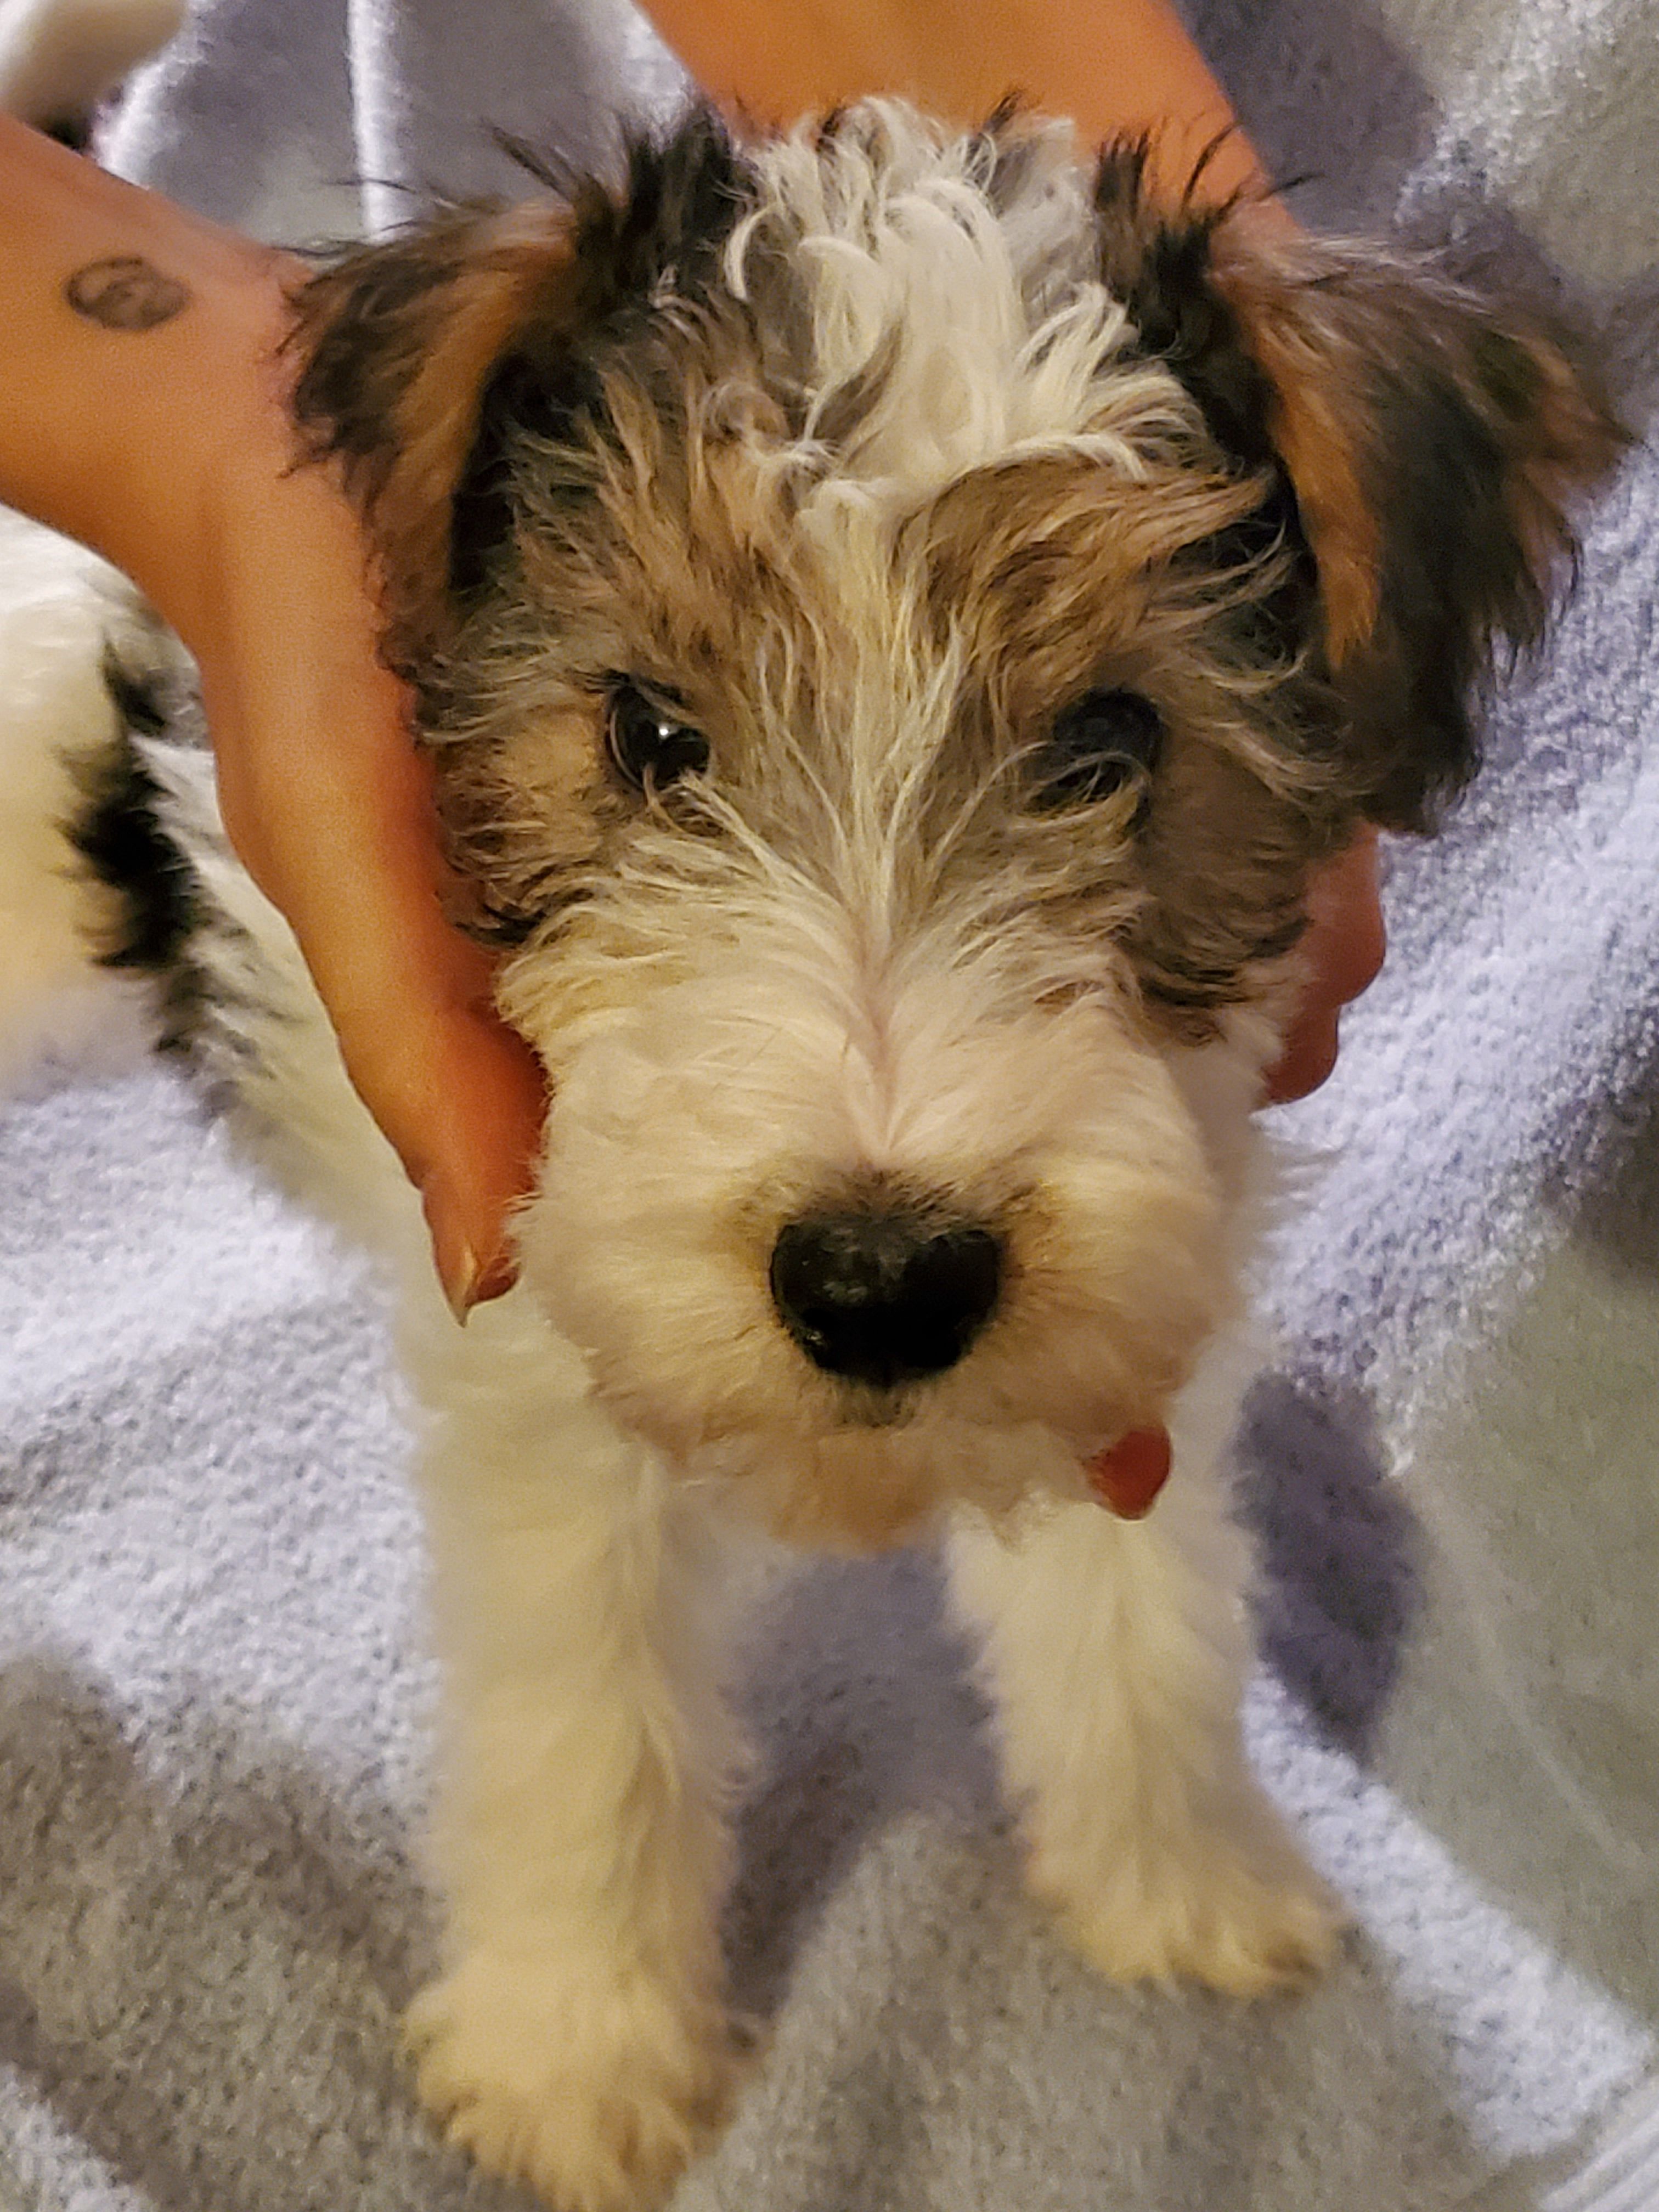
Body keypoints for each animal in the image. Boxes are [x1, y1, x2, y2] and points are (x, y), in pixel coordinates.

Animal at [0, 92, 1621, 2212]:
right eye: (651, 733)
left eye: (1112, 745)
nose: (881, 1281)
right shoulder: (544, 1365)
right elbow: (586, 1722)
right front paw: (579, 2055)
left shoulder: (1142, 1299)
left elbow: (1150, 1614)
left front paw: (1181, 1871)